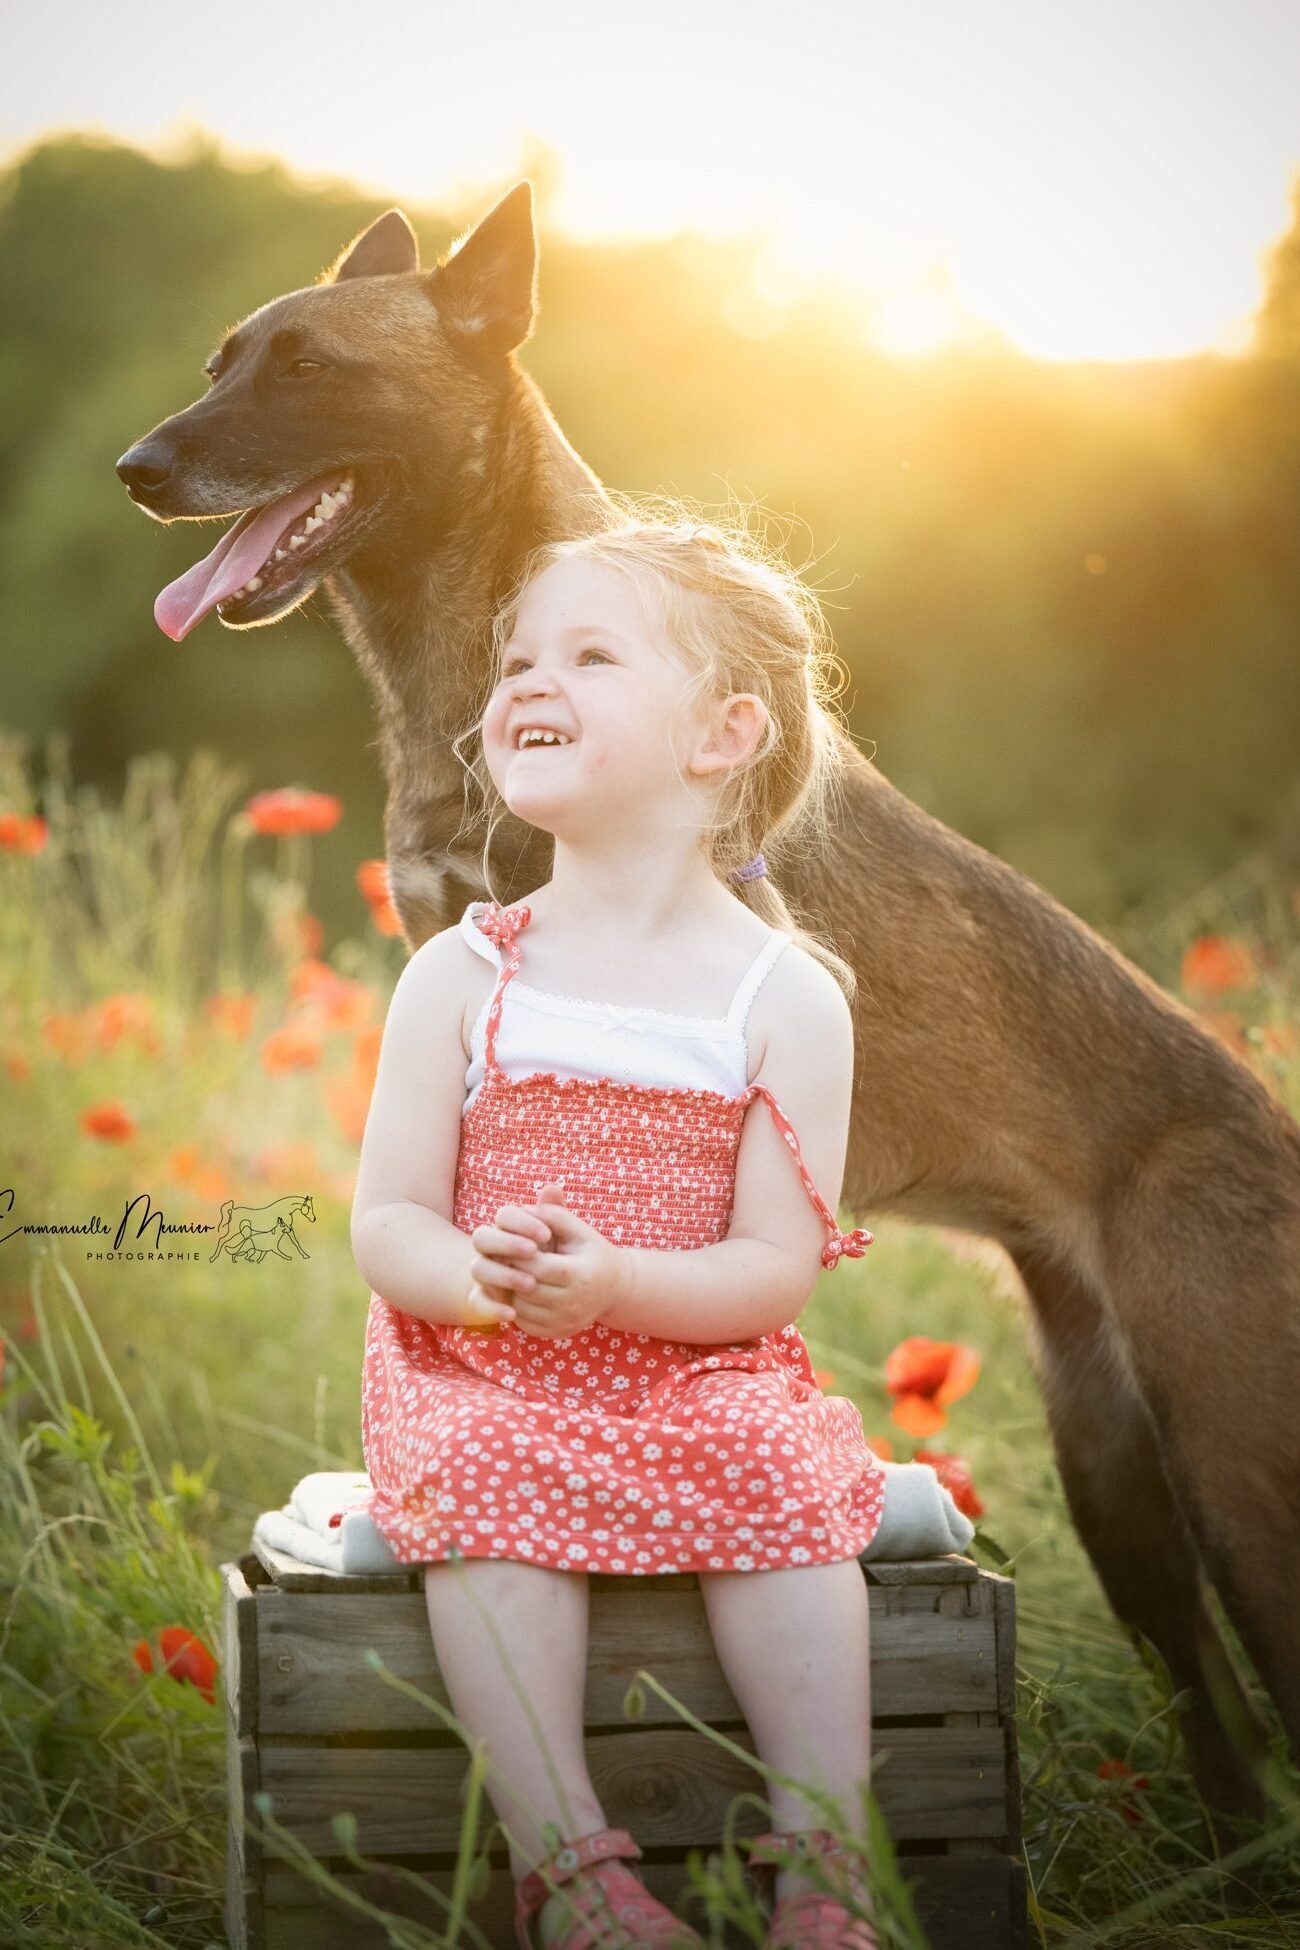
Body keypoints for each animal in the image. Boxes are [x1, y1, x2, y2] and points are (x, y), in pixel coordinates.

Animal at [116, 183, 1294, 1825]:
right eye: (224, 360)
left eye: (308, 368)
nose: (139, 469)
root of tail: (1264, 1114)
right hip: (1116, 1478)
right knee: (1218, 1720)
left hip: (1239, 1472)